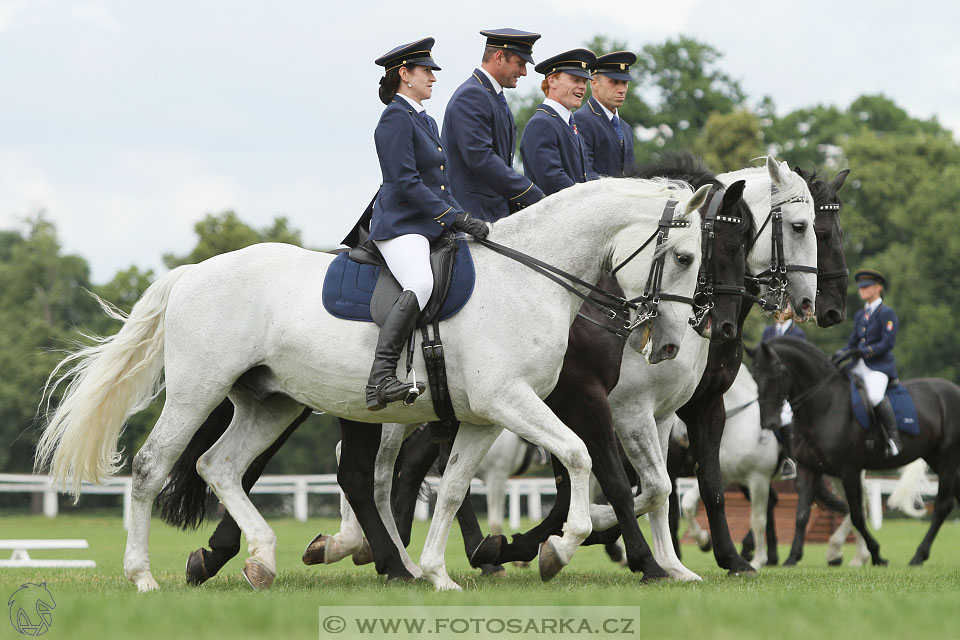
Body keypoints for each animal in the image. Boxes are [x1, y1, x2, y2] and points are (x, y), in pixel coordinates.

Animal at [37, 178, 708, 592]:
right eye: (683, 257)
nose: (670, 344)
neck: (530, 278)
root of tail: (192, 272)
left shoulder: (483, 418)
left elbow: (454, 489)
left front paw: (439, 573)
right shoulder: (511, 401)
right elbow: (579, 457)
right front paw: (559, 548)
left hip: (269, 402)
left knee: (219, 466)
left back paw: (264, 559)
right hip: (197, 390)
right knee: (152, 467)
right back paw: (144, 576)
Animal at [752, 340, 960, 564]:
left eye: (777, 375)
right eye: (755, 377)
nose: (768, 422)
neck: (825, 406)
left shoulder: (849, 470)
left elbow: (857, 515)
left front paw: (876, 554)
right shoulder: (809, 469)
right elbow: (801, 515)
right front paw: (792, 558)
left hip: (948, 460)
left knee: (942, 506)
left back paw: (918, 555)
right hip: (937, 458)